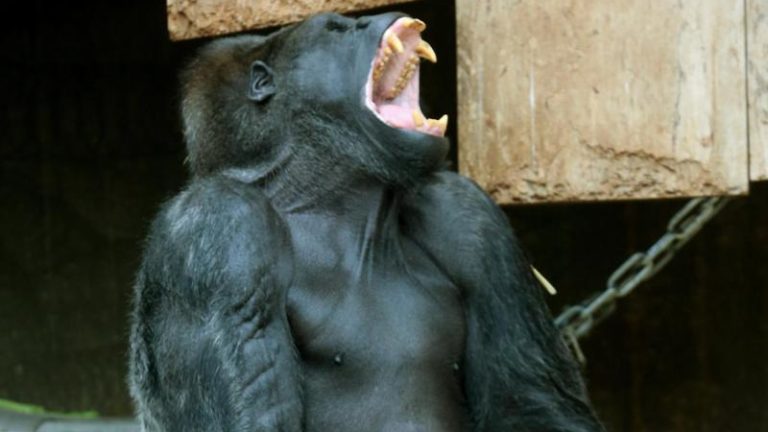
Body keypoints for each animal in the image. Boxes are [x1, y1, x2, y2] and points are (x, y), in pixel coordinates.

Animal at [128, 12, 604, 432]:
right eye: (338, 29)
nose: (373, 18)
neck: (334, 203)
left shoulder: (468, 217)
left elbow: (530, 401)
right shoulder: (219, 224)